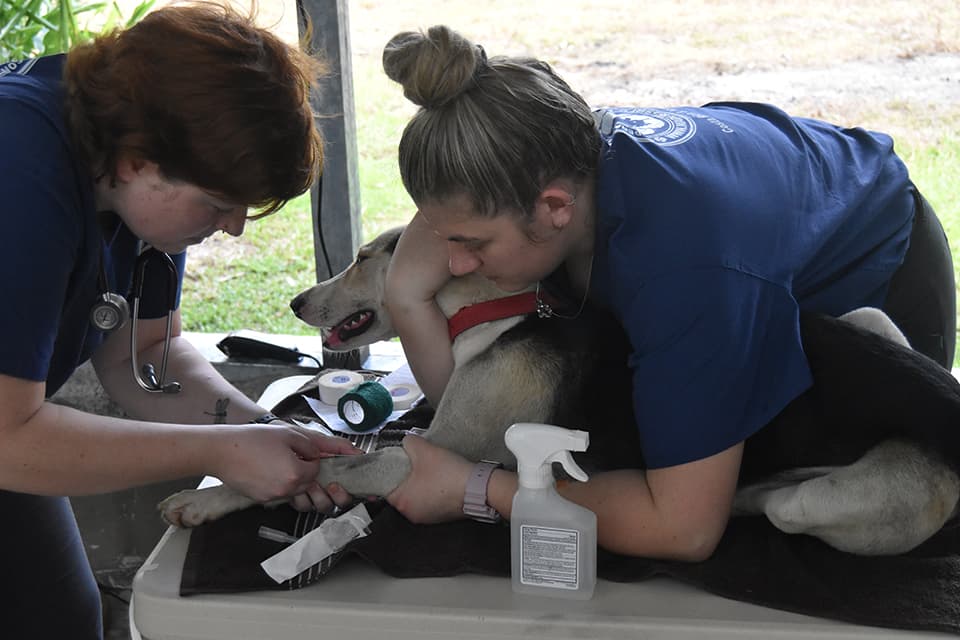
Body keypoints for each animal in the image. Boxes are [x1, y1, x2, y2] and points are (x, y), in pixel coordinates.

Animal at [161, 226, 960, 556]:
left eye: (361, 256)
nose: (297, 301)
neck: (498, 314)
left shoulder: (421, 454)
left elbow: (336, 462)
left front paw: (211, 497)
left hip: (829, 500)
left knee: (776, 505)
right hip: (869, 319)